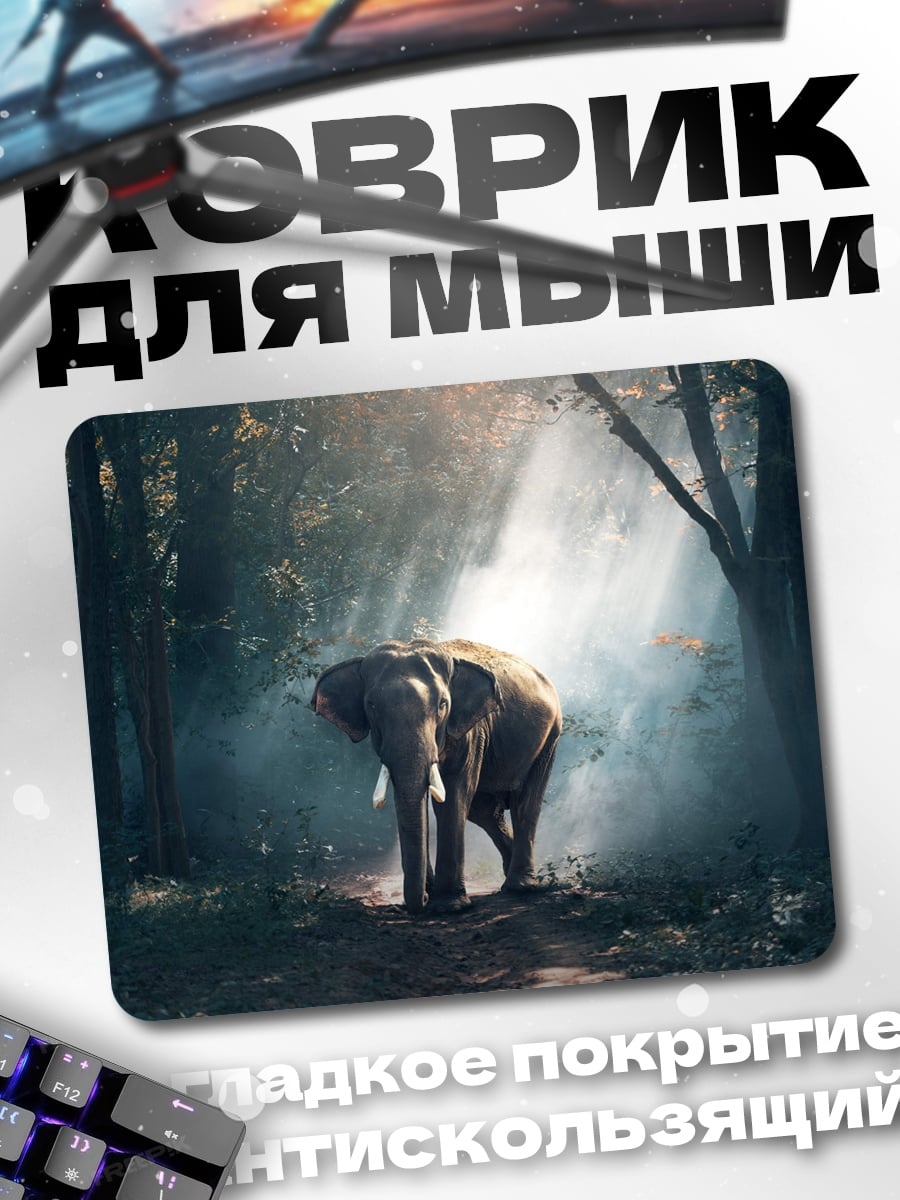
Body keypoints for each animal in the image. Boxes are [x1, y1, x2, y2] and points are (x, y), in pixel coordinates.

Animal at [310, 638, 562, 914]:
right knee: (484, 811)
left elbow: (452, 797)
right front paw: (433, 895)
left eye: (442, 704)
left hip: (550, 737)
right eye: (371, 706)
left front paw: (449, 906)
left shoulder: (470, 732)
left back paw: (521, 887)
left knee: (524, 803)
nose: (421, 900)